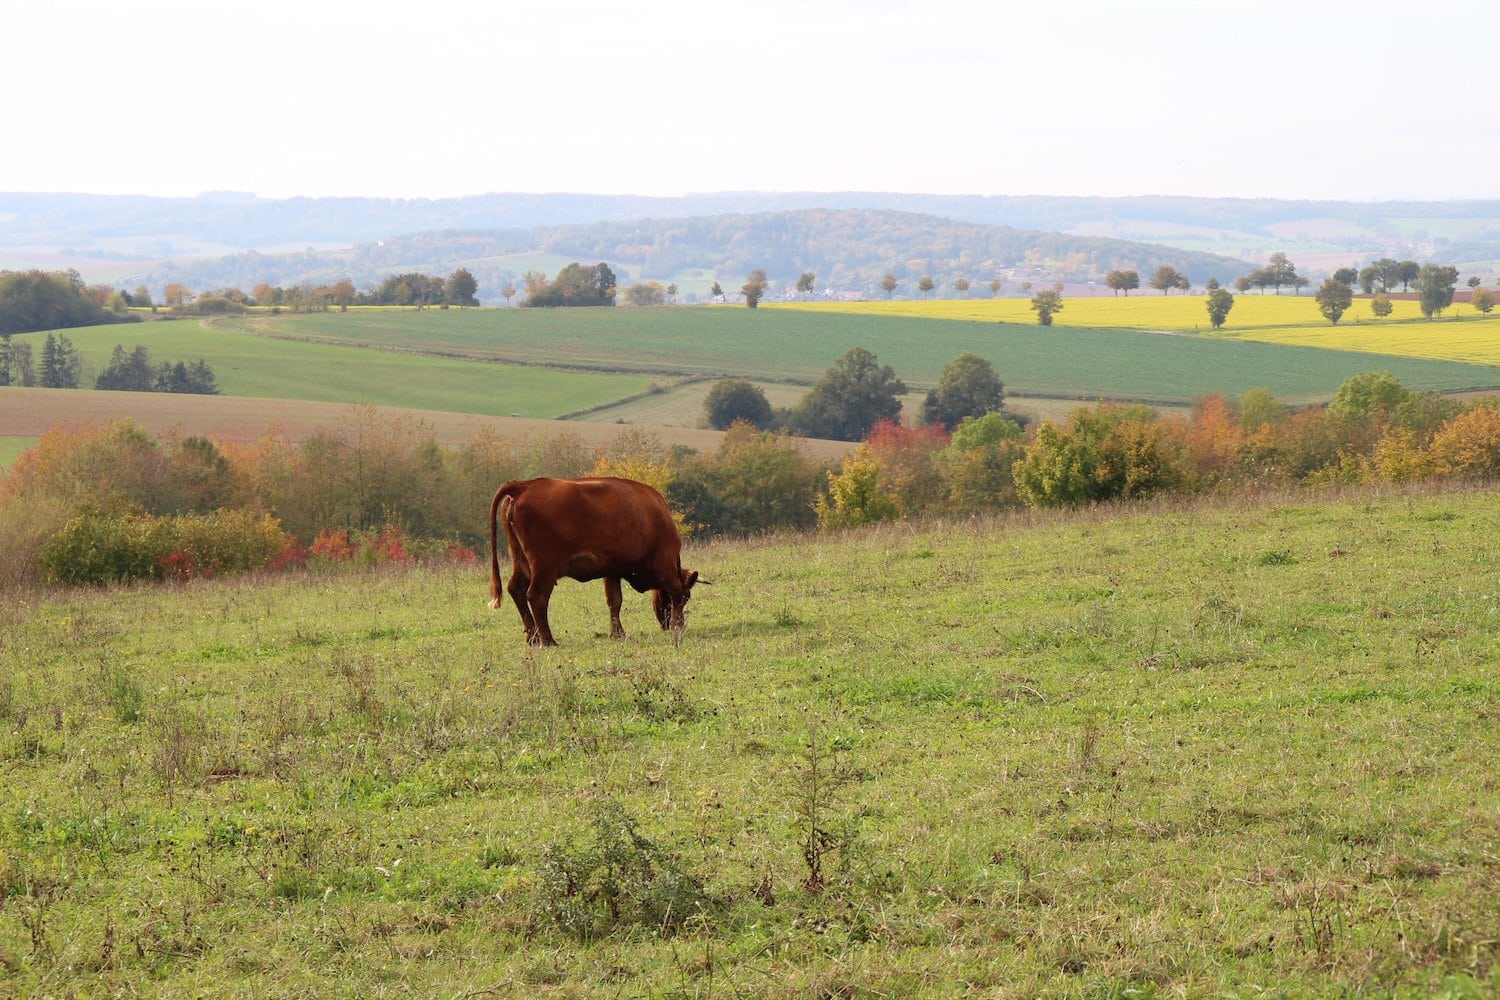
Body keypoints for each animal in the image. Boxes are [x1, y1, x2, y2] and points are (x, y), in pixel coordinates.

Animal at [489, 479, 705, 650]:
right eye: (688, 596)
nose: (666, 625)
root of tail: (524, 485)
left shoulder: (613, 571)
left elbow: (614, 601)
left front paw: (618, 633)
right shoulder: (665, 561)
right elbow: (674, 590)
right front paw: (678, 625)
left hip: (521, 561)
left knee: (516, 589)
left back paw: (533, 638)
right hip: (544, 568)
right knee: (536, 596)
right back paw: (549, 641)